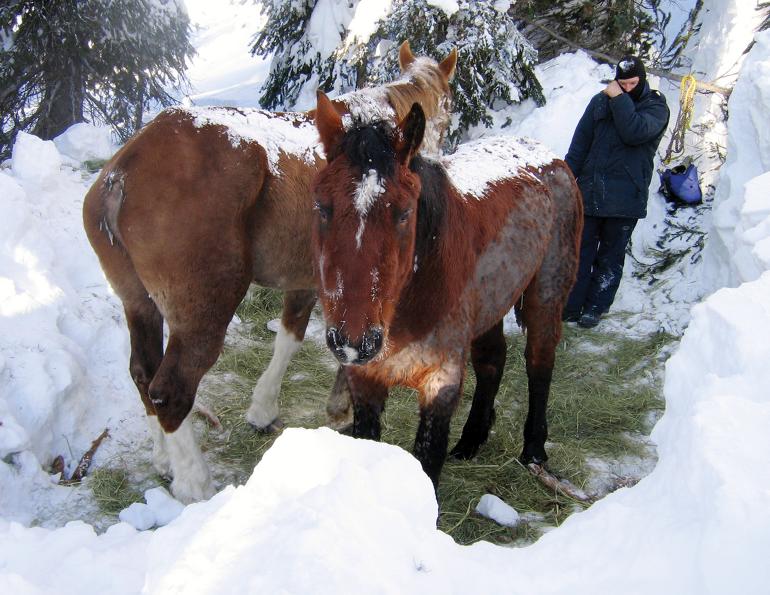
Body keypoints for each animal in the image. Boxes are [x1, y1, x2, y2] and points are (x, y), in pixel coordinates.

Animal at [82, 42, 457, 503]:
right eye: (449, 108)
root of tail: (124, 171)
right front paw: (338, 408)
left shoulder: (310, 282)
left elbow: (291, 337)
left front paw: (264, 409)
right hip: (202, 314)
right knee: (169, 390)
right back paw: (195, 484)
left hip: (138, 303)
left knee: (142, 371)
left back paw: (164, 458)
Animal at [311, 93, 582, 488]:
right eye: (321, 206)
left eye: (404, 213)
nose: (353, 342)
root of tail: (547, 157)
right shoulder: (365, 378)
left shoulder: (440, 383)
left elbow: (427, 461)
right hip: (491, 302)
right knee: (492, 360)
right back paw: (470, 441)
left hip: (545, 295)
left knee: (539, 362)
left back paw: (534, 451)